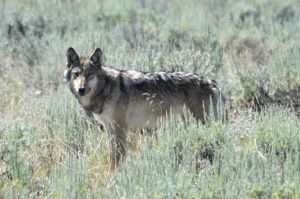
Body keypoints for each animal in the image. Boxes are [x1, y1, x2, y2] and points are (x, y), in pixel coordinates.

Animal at [63, 47, 227, 171]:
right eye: (76, 74)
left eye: (89, 75)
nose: (81, 89)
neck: (106, 88)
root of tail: (212, 82)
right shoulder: (110, 129)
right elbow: (112, 155)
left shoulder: (120, 129)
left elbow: (118, 157)